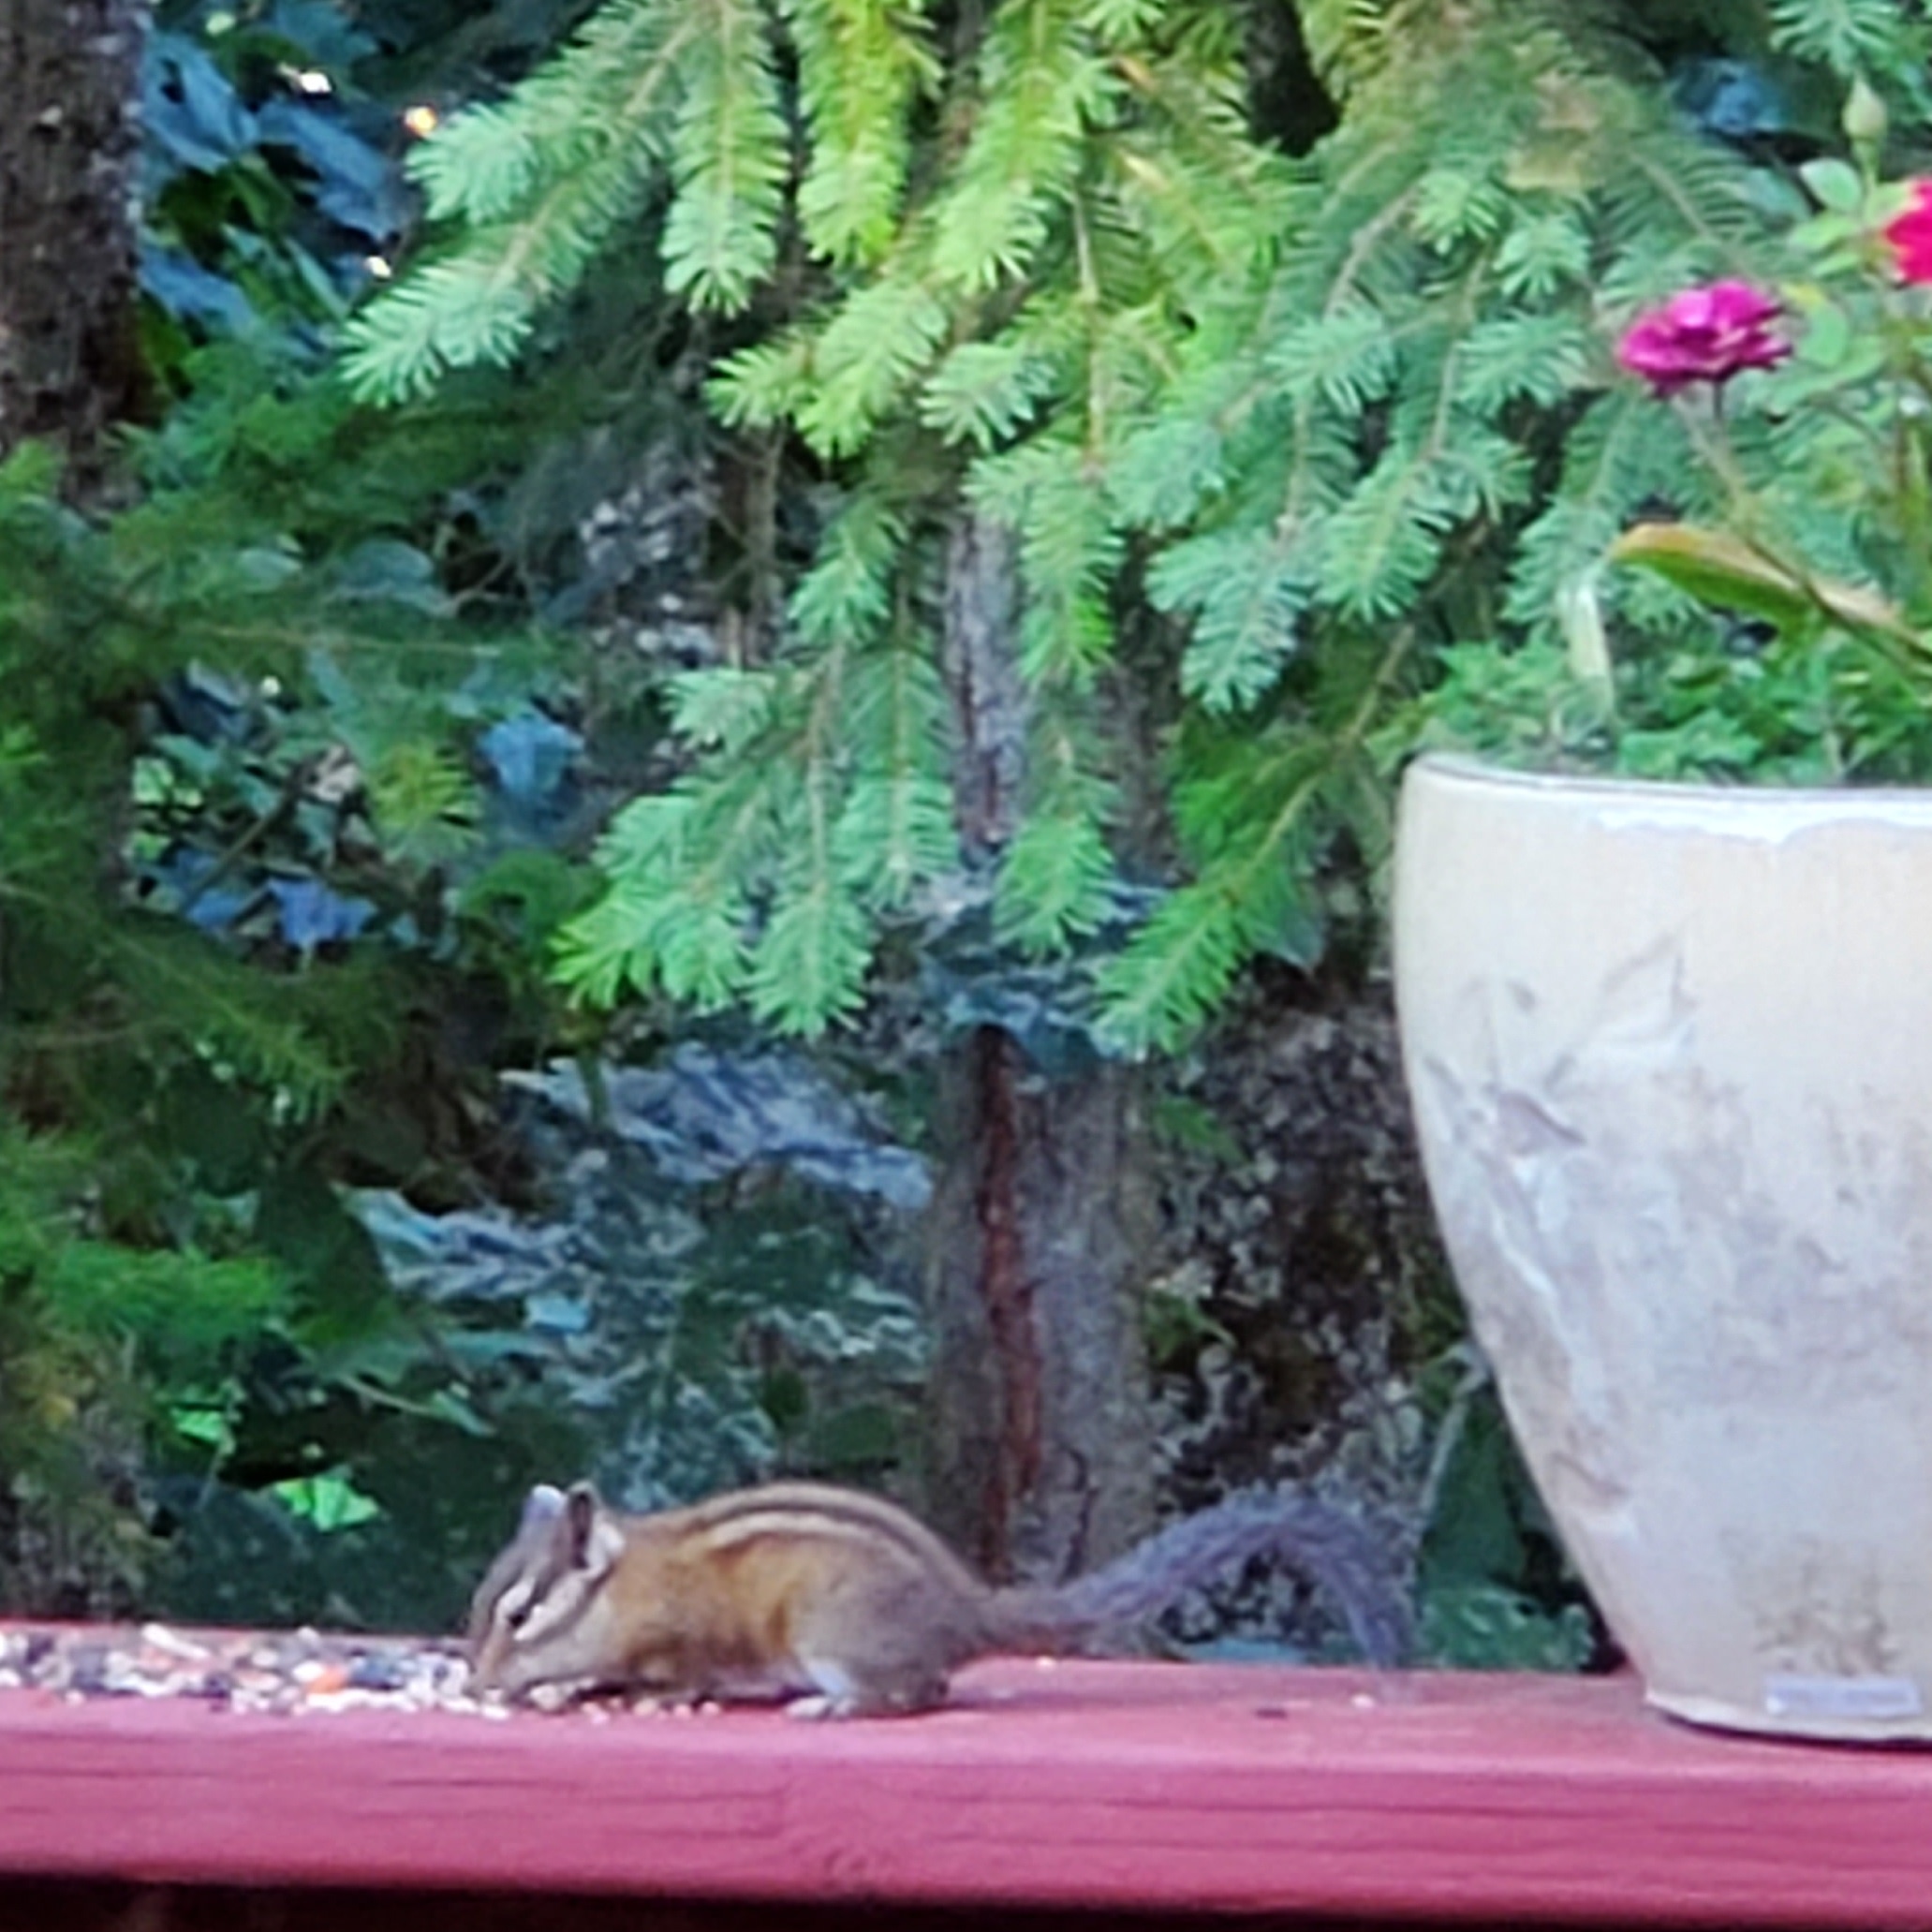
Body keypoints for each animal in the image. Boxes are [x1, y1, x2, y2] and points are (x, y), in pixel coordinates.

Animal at [466, 1478, 1412, 1716]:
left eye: (519, 1614)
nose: (474, 1680)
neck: (620, 1585)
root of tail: (967, 1609)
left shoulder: (683, 1637)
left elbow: (670, 1673)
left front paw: (600, 1687)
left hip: (831, 1635)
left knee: (915, 1693)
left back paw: (835, 1707)